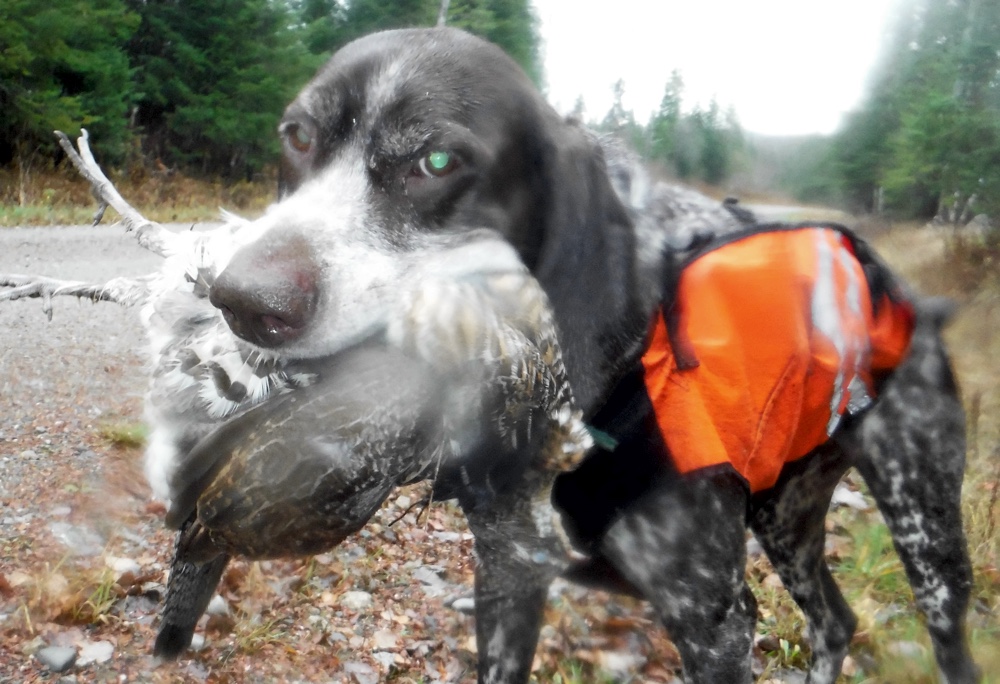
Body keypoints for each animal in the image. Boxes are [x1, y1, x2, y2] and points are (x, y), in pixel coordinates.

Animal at [1, 26, 976, 684]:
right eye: (297, 136)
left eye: (436, 160)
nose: (242, 300)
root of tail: (885, 276)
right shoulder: (508, 567)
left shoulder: (713, 617)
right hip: (787, 514)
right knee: (835, 620)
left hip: (924, 529)